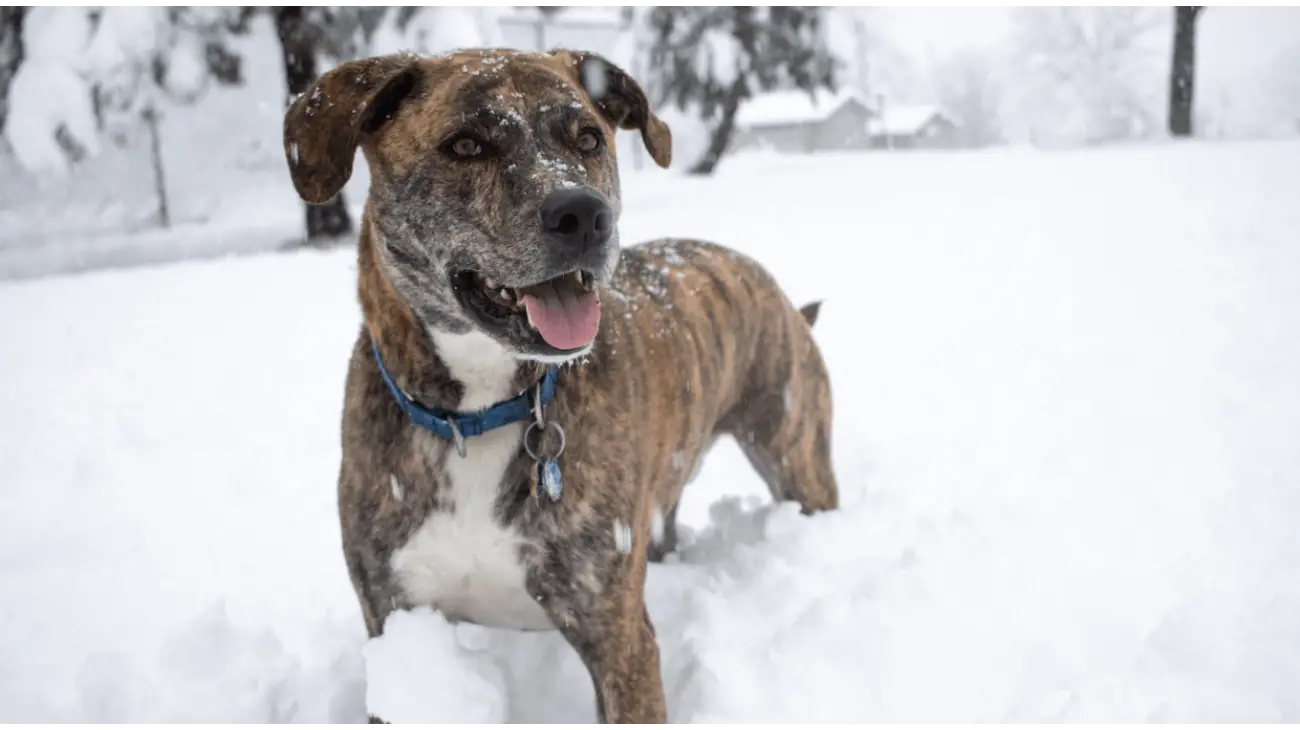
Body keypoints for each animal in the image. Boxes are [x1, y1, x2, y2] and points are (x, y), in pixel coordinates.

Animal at [279, 48, 837, 722]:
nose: (584, 213)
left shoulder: (618, 637)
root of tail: (768, 282)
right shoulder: (399, 628)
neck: (477, 412)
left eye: (589, 138)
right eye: (465, 144)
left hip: (796, 456)